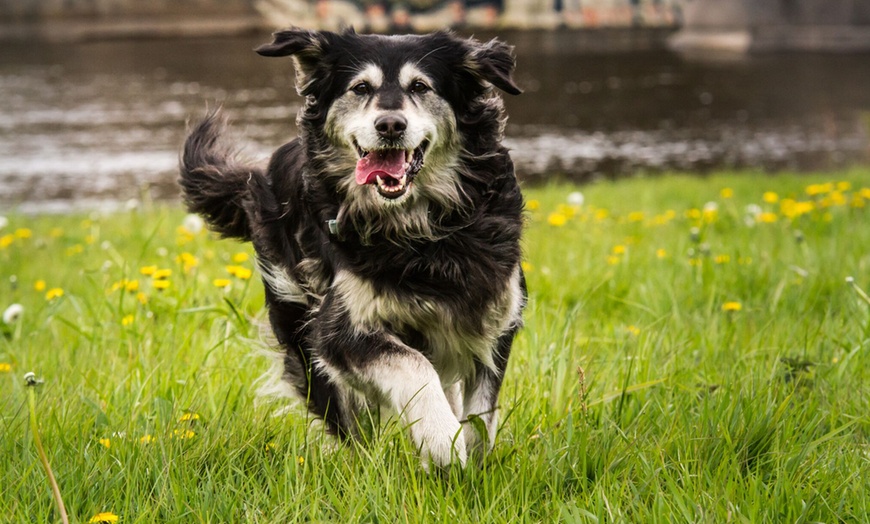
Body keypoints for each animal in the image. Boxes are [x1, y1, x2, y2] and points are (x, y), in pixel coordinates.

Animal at [179, 27, 524, 466]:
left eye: (420, 87)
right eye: (361, 88)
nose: (390, 124)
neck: (419, 234)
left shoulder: (495, 318)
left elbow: (482, 418)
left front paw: (471, 463)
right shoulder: (336, 331)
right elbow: (412, 365)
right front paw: (442, 439)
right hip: (301, 331)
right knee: (353, 425)